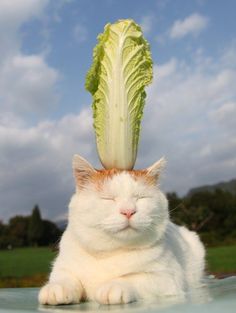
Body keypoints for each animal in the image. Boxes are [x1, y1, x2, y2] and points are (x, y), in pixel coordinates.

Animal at [38, 154, 205, 304]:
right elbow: (65, 277)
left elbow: (134, 278)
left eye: (141, 197)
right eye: (108, 199)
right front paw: (57, 288)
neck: (110, 253)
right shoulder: (62, 267)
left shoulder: (167, 279)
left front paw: (114, 285)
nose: (128, 211)